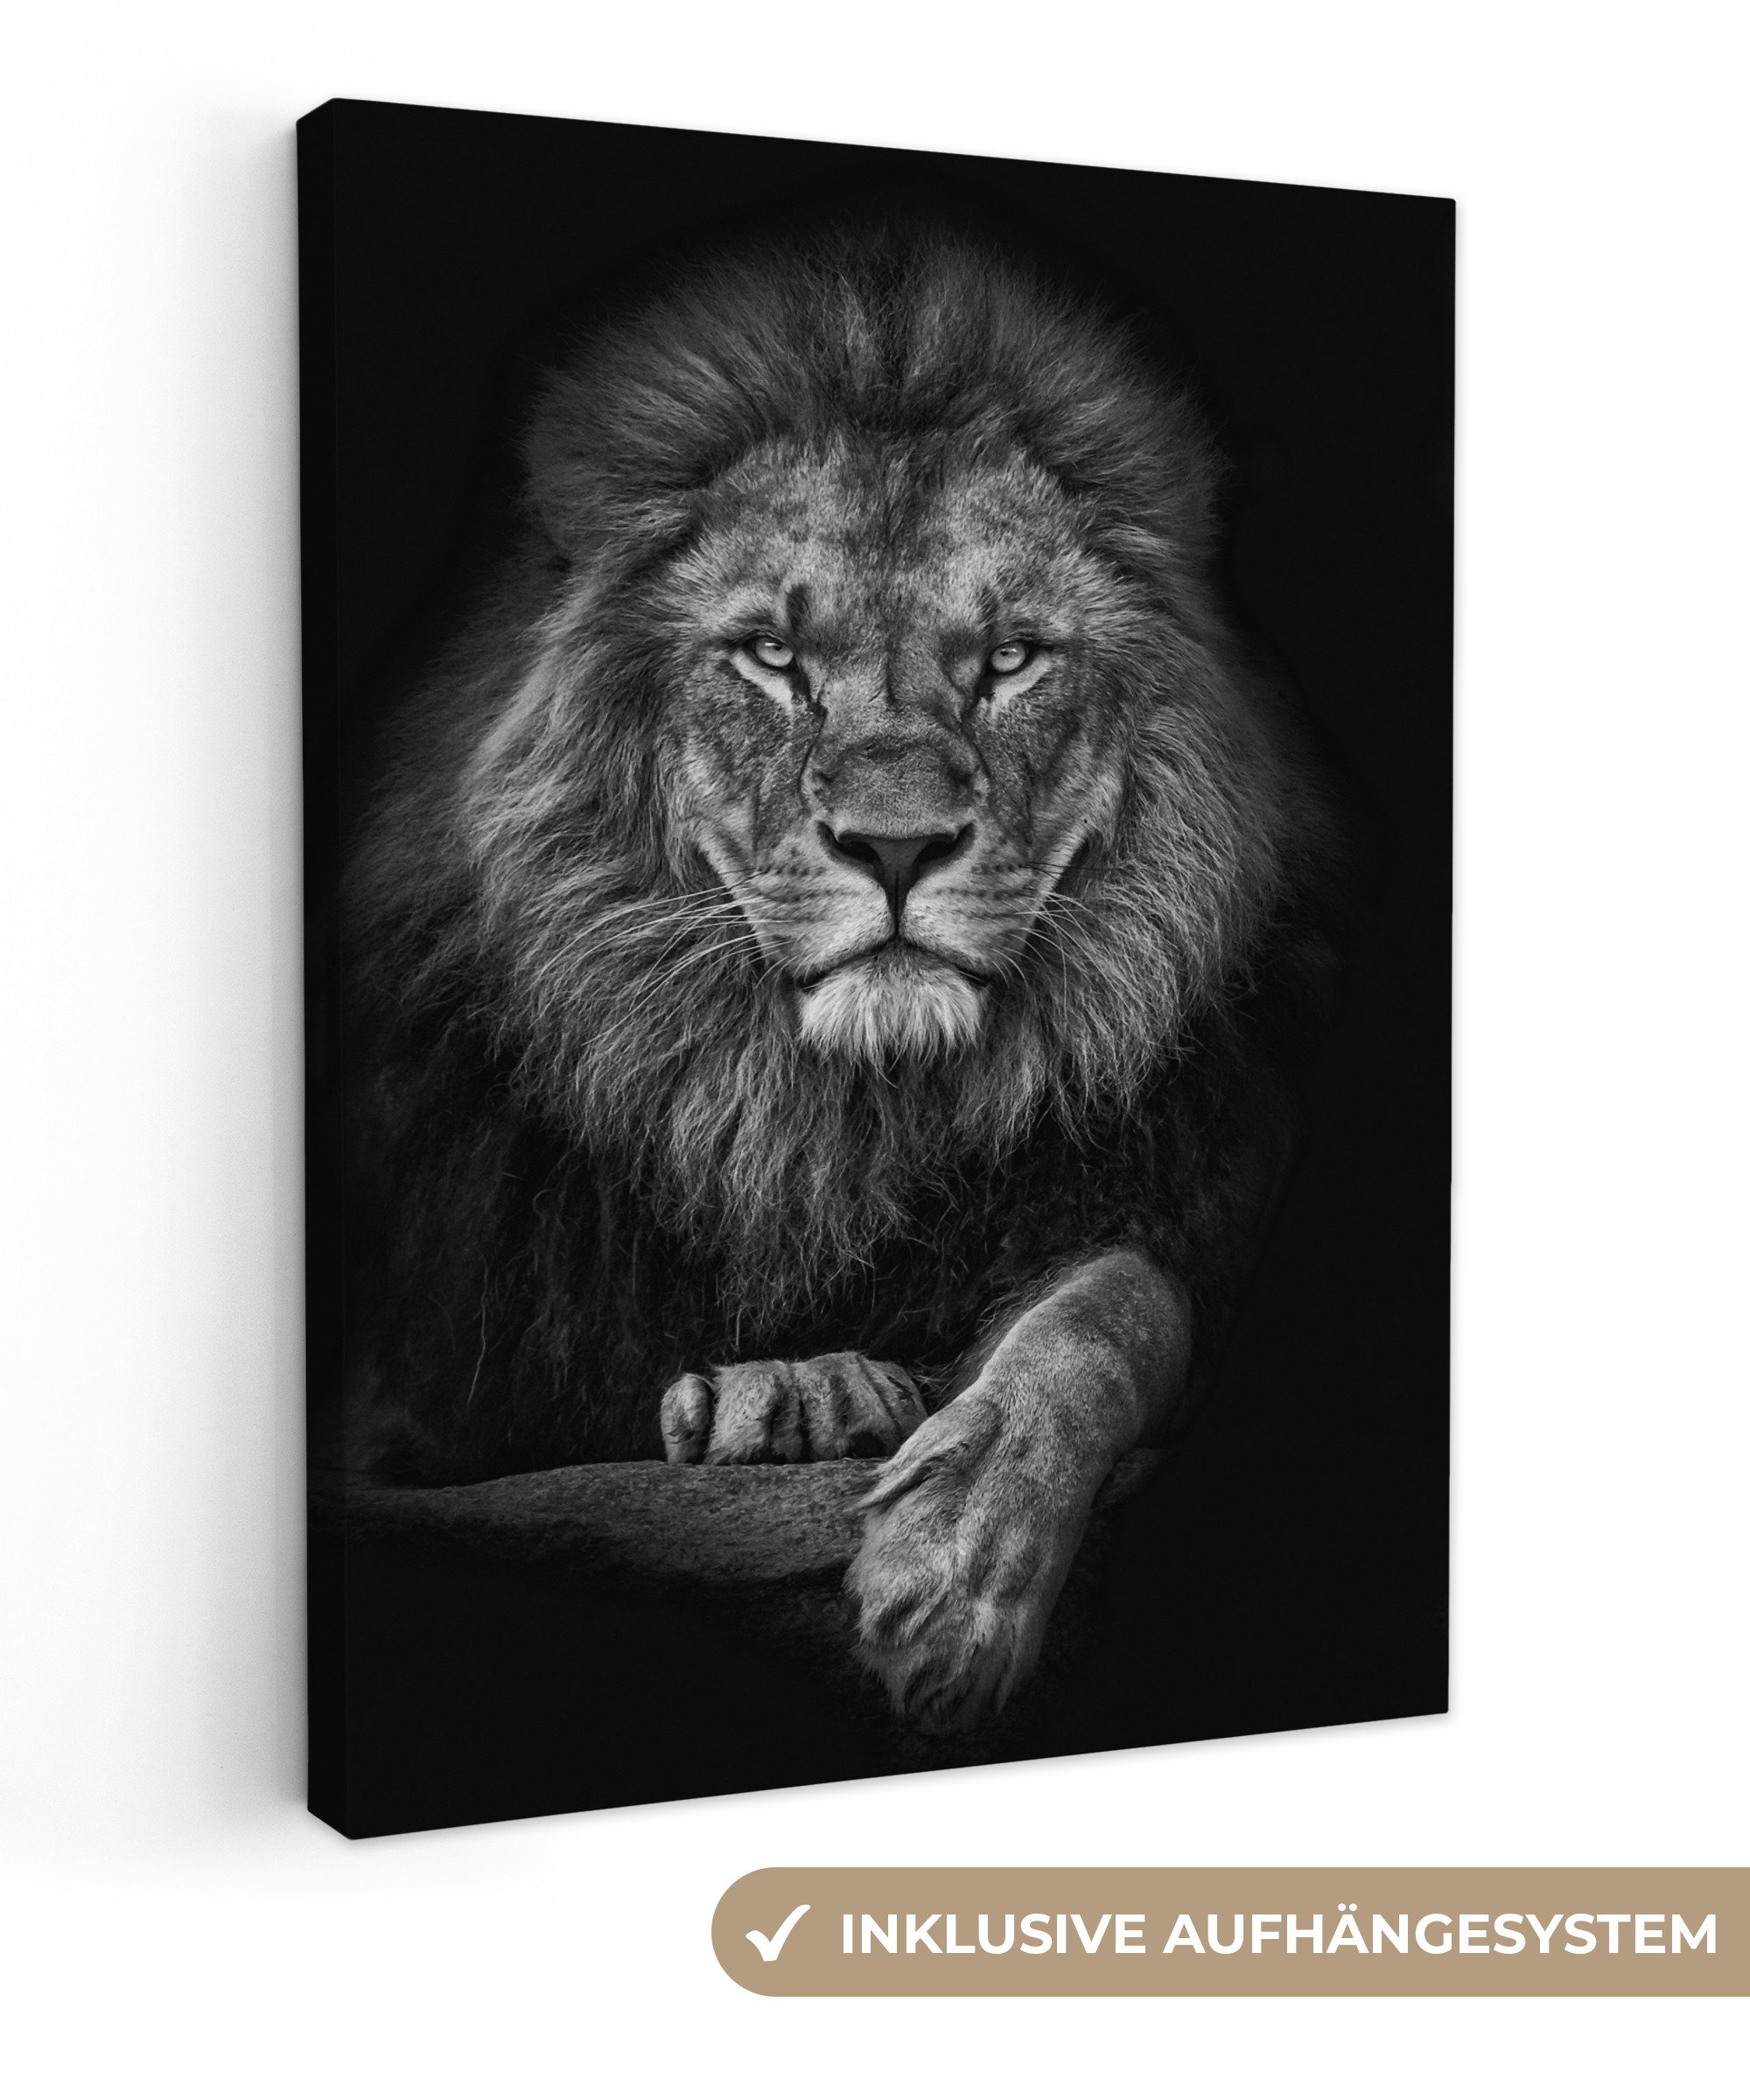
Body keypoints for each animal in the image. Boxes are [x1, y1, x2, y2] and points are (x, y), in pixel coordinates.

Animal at [344, 218, 1350, 1733]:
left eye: (1010, 659)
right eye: (772, 656)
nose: (895, 844)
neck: (825, 1124)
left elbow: (1116, 1306)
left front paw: (956, 1567)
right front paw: (788, 1401)